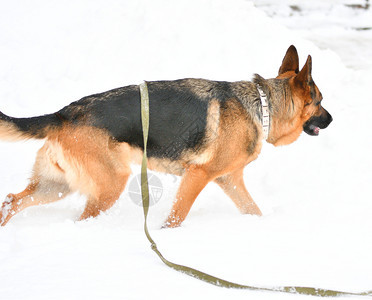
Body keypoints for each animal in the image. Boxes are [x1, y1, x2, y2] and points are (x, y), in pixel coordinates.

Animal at [0, 45, 332, 227]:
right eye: (319, 101)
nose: (332, 119)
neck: (262, 105)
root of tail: (65, 113)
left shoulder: (230, 181)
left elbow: (254, 211)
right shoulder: (198, 176)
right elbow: (176, 217)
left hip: (56, 186)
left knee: (11, 201)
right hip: (110, 185)